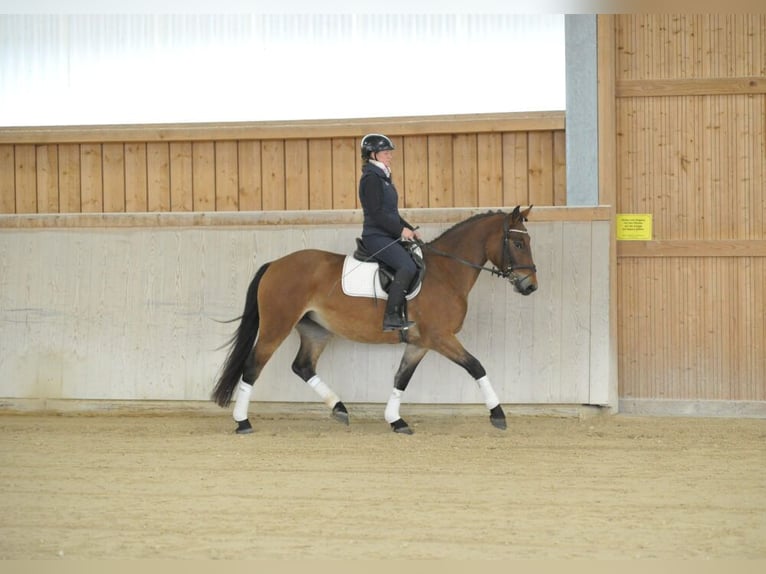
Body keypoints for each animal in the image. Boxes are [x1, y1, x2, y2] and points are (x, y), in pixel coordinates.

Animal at [211, 205, 537, 434]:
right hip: (276, 326)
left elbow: (401, 378)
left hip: (316, 330)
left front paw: (395, 420)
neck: (446, 272)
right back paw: (242, 422)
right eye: (518, 244)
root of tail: (275, 264)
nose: (530, 286)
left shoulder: (420, 343)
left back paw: (339, 408)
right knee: (253, 366)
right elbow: (476, 366)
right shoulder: (441, 337)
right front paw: (498, 414)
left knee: (302, 366)